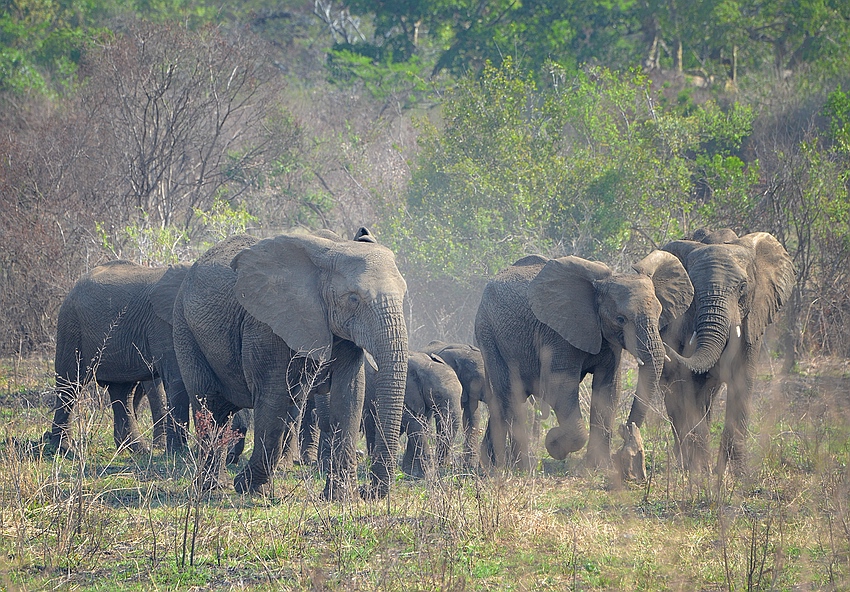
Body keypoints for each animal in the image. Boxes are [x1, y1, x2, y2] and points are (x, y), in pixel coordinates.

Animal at [47, 260, 190, 454]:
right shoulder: (163, 323)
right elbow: (177, 379)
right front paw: (178, 453)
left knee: (122, 391)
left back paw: (136, 449)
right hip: (70, 325)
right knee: (70, 383)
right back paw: (64, 449)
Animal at [172, 228, 408, 500]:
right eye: (353, 298)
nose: (368, 490)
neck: (333, 250)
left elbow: (349, 395)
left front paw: (339, 497)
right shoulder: (263, 322)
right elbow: (273, 394)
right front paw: (251, 487)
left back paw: (218, 484)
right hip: (185, 329)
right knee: (210, 404)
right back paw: (214, 487)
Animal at [362, 350, 460, 478]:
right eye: (437, 395)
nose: (445, 465)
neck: (425, 365)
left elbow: (422, 423)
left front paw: (411, 473)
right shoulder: (404, 392)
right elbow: (415, 424)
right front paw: (428, 475)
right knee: (372, 427)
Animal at [474, 250, 692, 472]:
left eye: (659, 314)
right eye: (620, 319)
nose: (625, 430)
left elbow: (608, 388)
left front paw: (600, 467)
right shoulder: (557, 332)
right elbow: (561, 386)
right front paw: (554, 443)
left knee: (502, 399)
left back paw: (489, 465)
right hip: (487, 332)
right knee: (510, 393)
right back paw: (522, 467)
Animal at [656, 230, 796, 472]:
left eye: (742, 287)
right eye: (693, 291)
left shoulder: (753, 321)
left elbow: (742, 381)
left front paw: (735, 473)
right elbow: (690, 386)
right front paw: (701, 471)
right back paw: (685, 464)